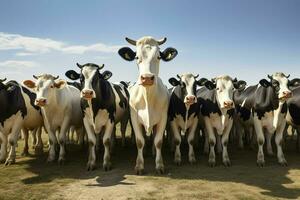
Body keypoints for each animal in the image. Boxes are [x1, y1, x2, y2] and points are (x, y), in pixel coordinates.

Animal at [118, 36, 178, 174]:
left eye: (159, 57)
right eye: (136, 57)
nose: (147, 78)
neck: (148, 97)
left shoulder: (163, 119)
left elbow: (158, 141)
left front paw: (159, 165)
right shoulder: (134, 119)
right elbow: (140, 141)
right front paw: (139, 165)